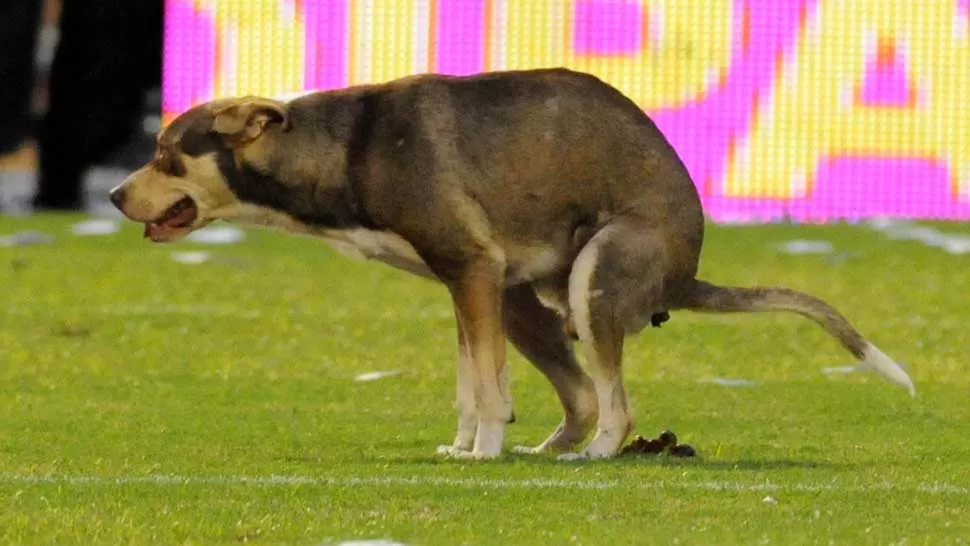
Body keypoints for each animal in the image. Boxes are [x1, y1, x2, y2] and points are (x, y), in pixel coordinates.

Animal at [109, 68, 912, 460]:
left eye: (167, 156)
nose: (115, 195)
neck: (341, 149)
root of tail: (686, 274)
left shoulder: (469, 271)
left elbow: (489, 392)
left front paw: (484, 455)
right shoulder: (466, 286)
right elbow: (473, 386)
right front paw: (465, 450)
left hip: (595, 279)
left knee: (615, 404)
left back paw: (593, 458)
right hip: (529, 299)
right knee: (584, 398)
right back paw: (554, 447)